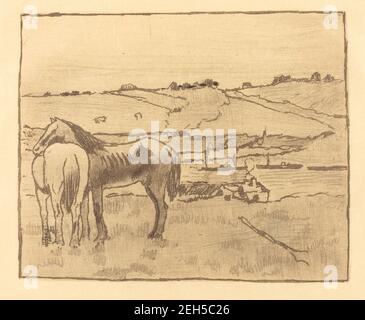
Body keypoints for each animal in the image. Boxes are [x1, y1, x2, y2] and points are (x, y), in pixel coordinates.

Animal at [32, 117, 180, 242]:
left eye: (53, 130)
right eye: (46, 129)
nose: (35, 149)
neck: (89, 154)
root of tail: (167, 148)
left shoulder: (97, 187)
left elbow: (97, 210)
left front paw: (100, 238)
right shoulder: (85, 190)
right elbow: (84, 212)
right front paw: (85, 238)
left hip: (156, 185)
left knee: (163, 208)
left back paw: (157, 235)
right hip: (148, 186)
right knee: (158, 208)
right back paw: (152, 234)